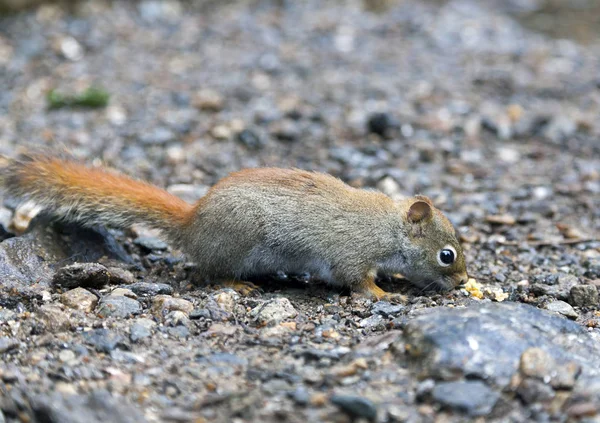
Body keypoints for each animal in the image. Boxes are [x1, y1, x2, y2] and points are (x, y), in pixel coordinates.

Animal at [2, 154, 466, 300]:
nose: (464, 282)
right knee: (210, 274)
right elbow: (357, 281)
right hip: (236, 245)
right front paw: (384, 292)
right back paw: (238, 284)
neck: (388, 227)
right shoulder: (351, 253)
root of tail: (192, 225)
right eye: (447, 255)